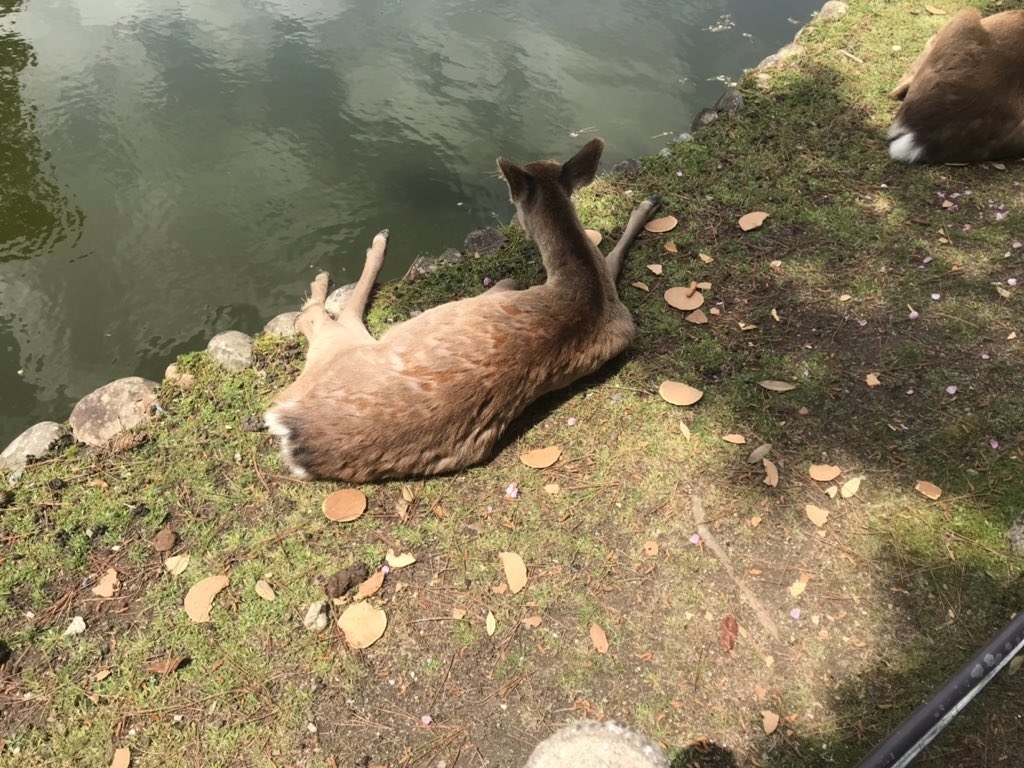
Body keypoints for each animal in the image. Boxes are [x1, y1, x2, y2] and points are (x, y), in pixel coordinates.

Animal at [264, 140, 659, 481]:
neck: (582, 285)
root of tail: (293, 430)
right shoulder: (619, 314)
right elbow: (611, 258)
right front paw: (649, 202)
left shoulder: (509, 287)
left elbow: (516, 277)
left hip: (345, 349)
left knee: (323, 318)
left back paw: (355, 257)